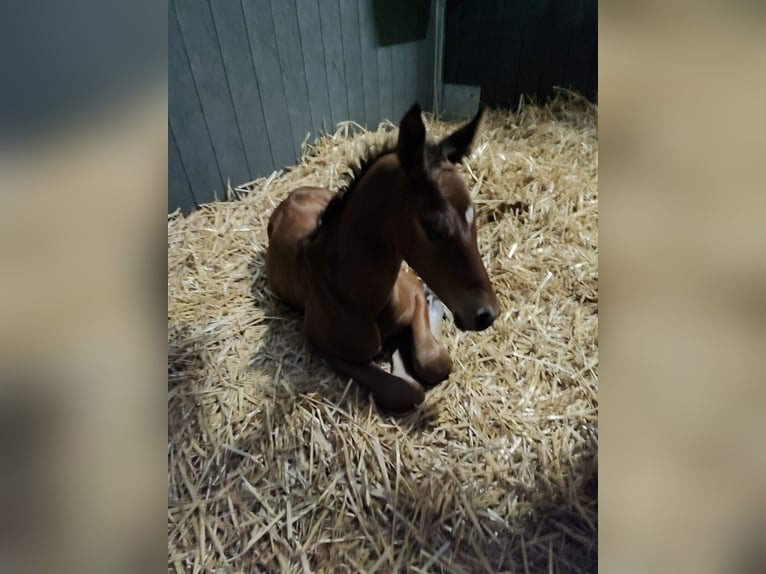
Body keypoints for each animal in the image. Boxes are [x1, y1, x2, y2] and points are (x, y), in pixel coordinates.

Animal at [268, 104, 500, 414]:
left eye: (474, 218)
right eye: (434, 229)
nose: (487, 314)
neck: (362, 295)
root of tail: (293, 195)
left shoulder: (411, 290)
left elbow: (436, 361)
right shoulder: (328, 347)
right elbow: (403, 391)